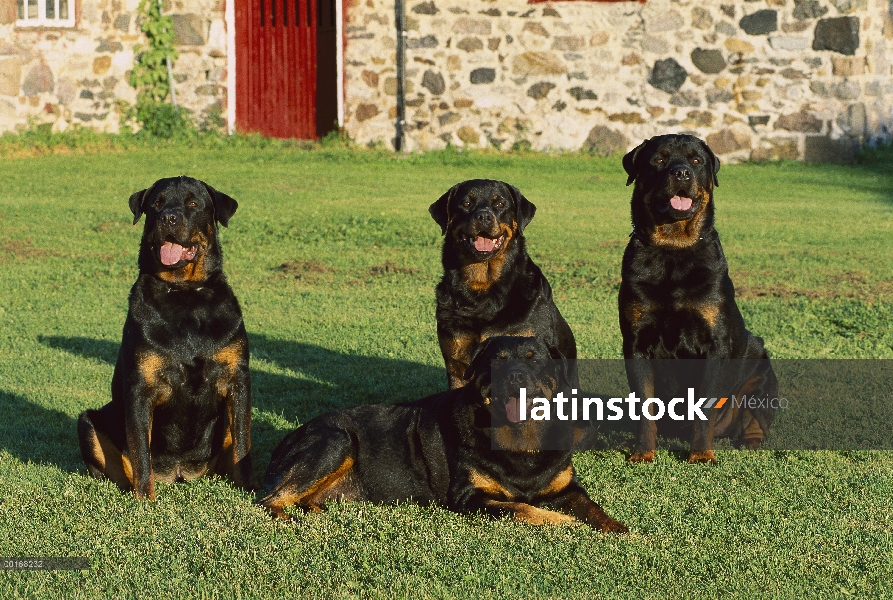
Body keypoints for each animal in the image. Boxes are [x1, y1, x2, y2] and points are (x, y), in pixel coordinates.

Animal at [76, 176, 253, 500]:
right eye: (156, 204)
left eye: (193, 203)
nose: (168, 217)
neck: (184, 294)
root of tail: (180, 472)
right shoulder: (140, 387)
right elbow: (140, 452)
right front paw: (145, 499)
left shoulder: (237, 380)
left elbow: (243, 445)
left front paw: (252, 489)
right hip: (88, 423)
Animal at [258, 338, 628, 536]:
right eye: (496, 360)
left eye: (533, 359)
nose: (515, 376)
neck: (521, 441)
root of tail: (288, 438)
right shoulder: (468, 497)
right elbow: (521, 508)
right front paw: (562, 521)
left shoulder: (568, 487)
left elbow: (592, 506)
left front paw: (617, 527)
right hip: (336, 440)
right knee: (270, 498)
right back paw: (286, 517)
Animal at [616, 135, 776, 464]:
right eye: (659, 159)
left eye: (696, 160)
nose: (681, 173)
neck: (674, 248)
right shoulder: (636, 344)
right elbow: (645, 408)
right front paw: (643, 453)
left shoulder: (714, 344)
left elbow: (704, 407)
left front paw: (701, 454)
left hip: (762, 373)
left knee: (757, 419)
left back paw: (750, 442)